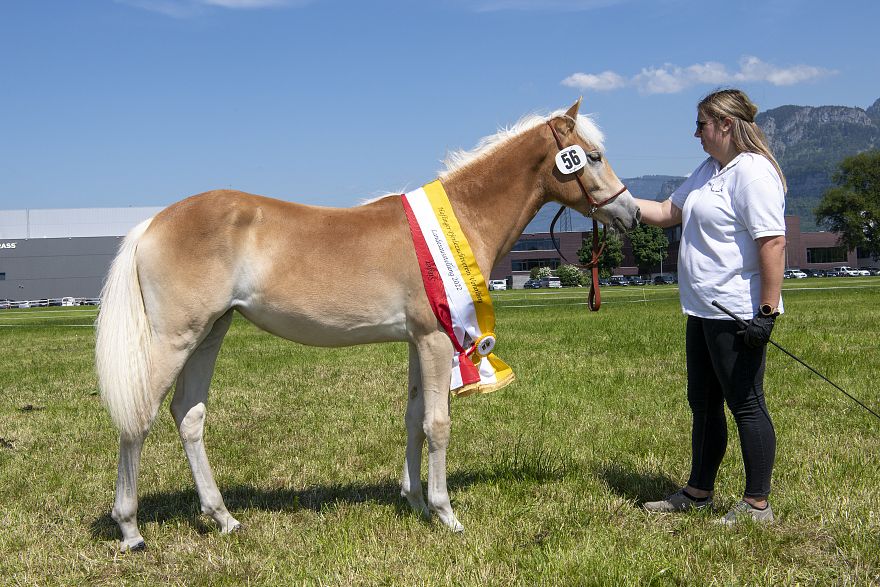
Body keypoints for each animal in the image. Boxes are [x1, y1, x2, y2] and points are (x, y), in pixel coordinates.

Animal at [96, 99, 640, 552]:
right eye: (592, 156)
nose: (632, 212)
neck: (459, 218)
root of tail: (152, 223)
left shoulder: (418, 342)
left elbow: (413, 417)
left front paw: (415, 500)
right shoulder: (436, 340)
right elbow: (438, 424)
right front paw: (446, 513)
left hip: (211, 333)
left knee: (188, 414)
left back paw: (223, 517)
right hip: (175, 339)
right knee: (140, 417)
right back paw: (130, 529)